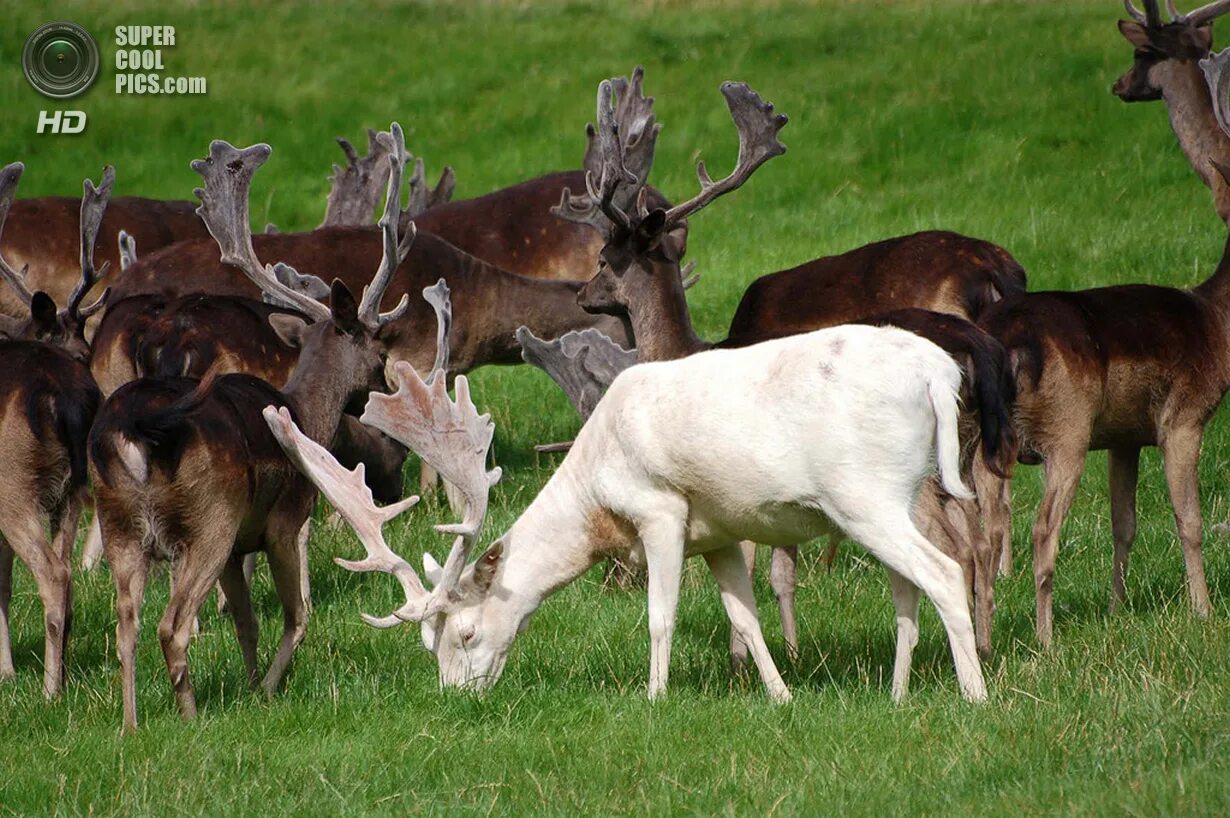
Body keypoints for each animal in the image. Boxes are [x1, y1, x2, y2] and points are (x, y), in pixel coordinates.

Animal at [89, 123, 435, 728]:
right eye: (380, 347)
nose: (386, 387)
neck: (304, 412)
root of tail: (133, 431)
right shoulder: (282, 519)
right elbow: (297, 616)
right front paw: (269, 689)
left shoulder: (237, 550)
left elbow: (247, 621)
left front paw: (251, 683)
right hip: (210, 517)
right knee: (171, 627)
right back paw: (191, 719)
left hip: (121, 525)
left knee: (125, 625)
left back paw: (130, 726)